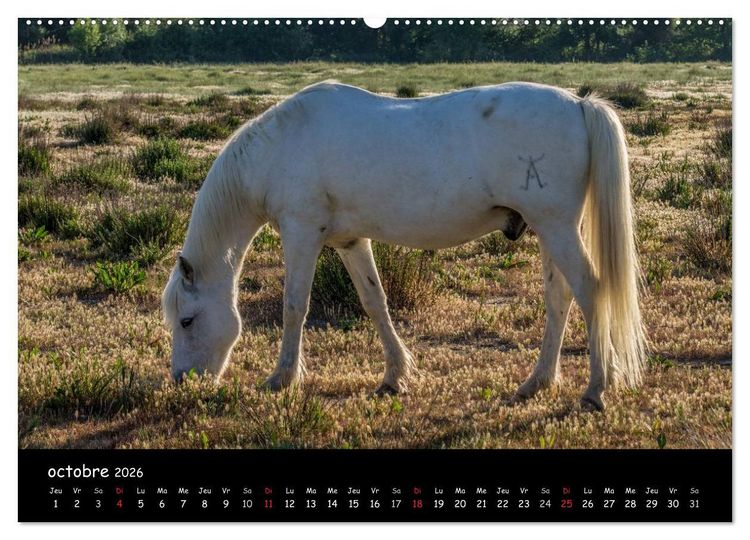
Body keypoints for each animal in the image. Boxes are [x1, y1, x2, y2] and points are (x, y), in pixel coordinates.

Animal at [162, 80, 646, 411]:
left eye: (187, 320)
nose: (182, 380)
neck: (281, 145)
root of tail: (580, 105)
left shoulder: (302, 234)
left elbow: (294, 306)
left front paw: (282, 378)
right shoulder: (350, 241)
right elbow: (374, 302)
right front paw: (395, 375)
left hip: (557, 228)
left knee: (591, 290)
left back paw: (596, 389)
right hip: (552, 230)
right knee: (559, 297)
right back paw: (537, 383)